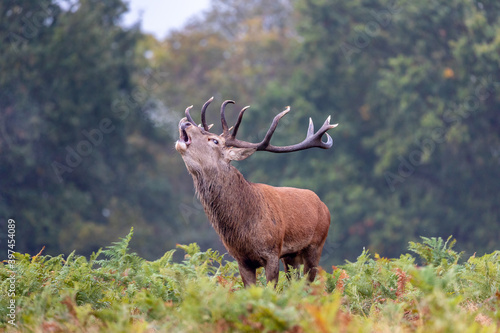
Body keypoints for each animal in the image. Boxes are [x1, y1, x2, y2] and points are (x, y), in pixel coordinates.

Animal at [174, 96, 338, 286]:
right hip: (291, 255)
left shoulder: (272, 252)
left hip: (316, 244)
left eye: (215, 141)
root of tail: (323, 205)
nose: (185, 123)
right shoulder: (241, 259)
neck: (244, 230)